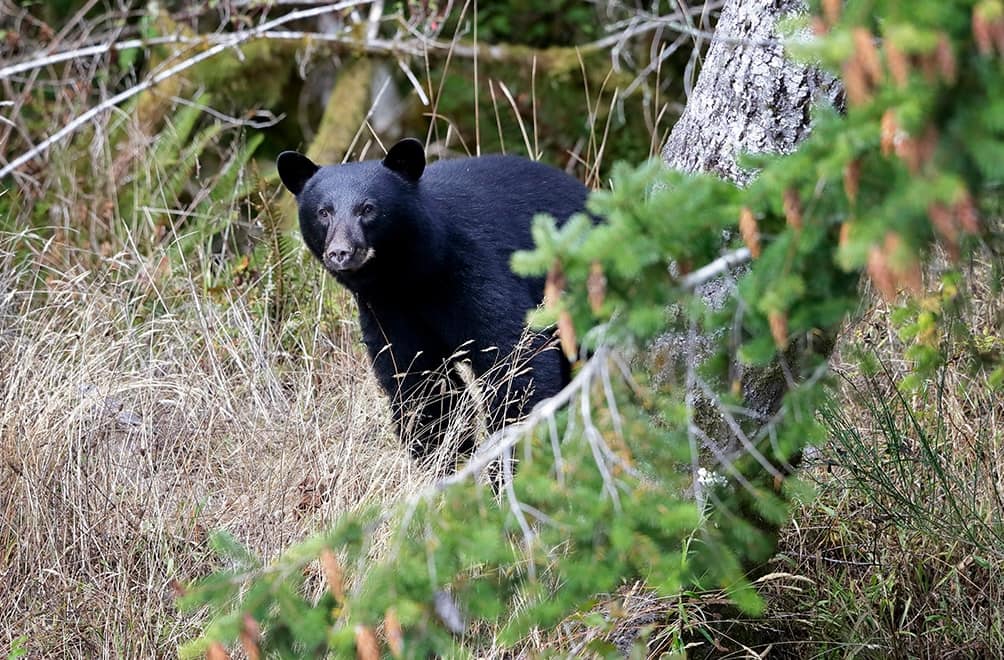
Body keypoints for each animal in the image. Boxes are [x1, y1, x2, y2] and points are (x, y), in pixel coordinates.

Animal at [277, 138, 586, 458]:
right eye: (323, 212)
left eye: (368, 208)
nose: (340, 252)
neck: (411, 277)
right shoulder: (387, 310)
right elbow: (419, 384)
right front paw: (446, 456)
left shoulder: (477, 269)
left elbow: (516, 358)